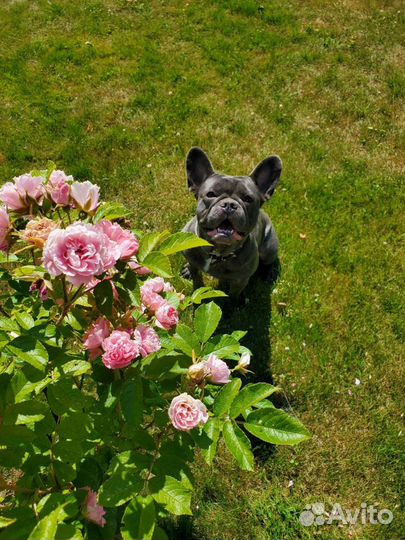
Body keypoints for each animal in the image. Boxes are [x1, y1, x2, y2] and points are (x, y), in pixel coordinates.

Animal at [182, 148, 280, 298]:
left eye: (248, 199)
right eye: (211, 194)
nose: (229, 204)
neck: (217, 253)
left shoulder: (240, 281)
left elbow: (233, 296)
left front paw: (232, 304)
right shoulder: (193, 262)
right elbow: (196, 277)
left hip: (269, 248)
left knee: (268, 262)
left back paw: (269, 274)